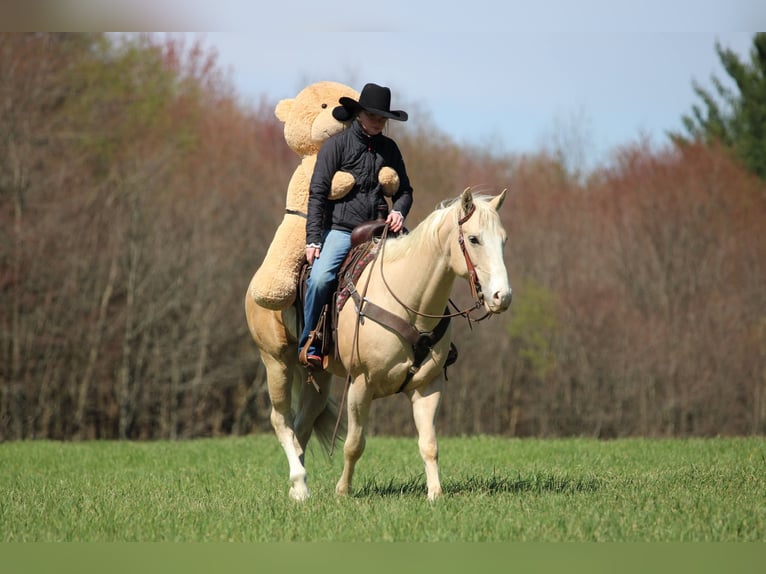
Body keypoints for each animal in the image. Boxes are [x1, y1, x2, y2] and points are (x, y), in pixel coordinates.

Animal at [245, 188, 512, 501]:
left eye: (503, 240)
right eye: (473, 239)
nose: (502, 297)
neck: (408, 302)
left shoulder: (428, 386)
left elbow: (429, 445)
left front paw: (435, 494)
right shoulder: (361, 384)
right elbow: (354, 444)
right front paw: (343, 491)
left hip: (319, 376)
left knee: (302, 426)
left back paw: (298, 489)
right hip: (276, 362)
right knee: (280, 420)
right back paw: (299, 482)